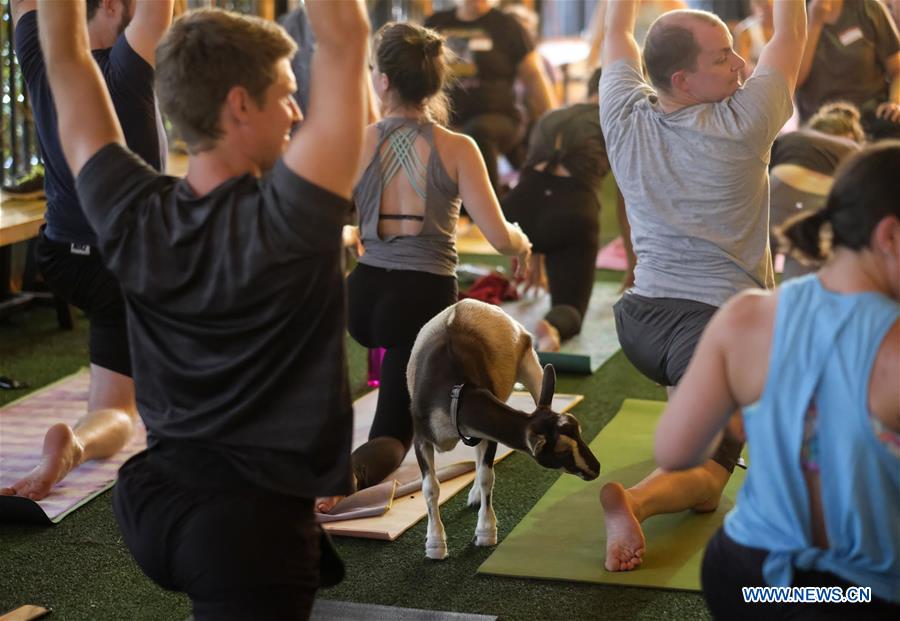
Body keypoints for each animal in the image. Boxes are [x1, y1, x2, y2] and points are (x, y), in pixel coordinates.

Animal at [406, 298, 596, 560]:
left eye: (579, 432)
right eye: (561, 451)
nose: (595, 469)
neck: (455, 393)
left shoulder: (487, 435)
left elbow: (488, 476)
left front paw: (486, 533)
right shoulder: (422, 438)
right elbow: (430, 487)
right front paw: (435, 545)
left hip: (530, 365)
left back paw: (476, 496)